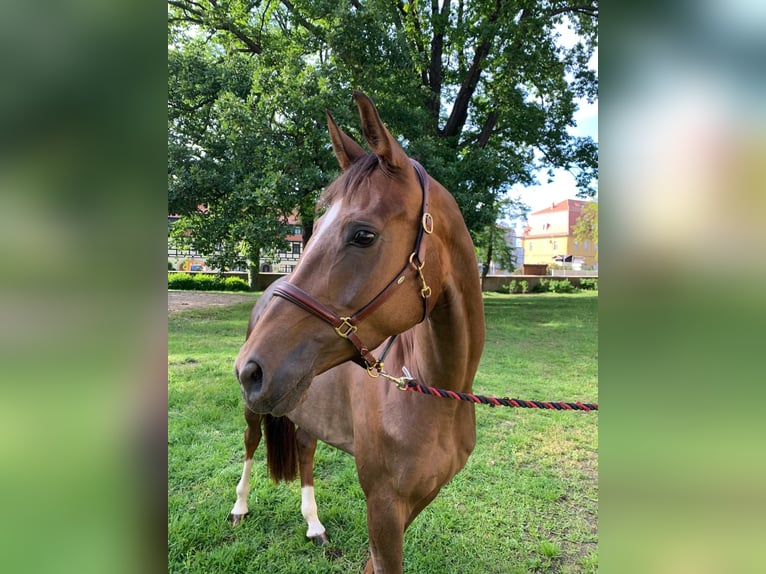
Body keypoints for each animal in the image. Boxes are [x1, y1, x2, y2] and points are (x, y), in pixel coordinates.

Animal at [230, 91, 485, 573]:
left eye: (363, 235)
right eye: (311, 233)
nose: (250, 370)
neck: (433, 393)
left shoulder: (413, 502)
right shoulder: (384, 504)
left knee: (306, 449)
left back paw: (313, 524)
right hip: (256, 411)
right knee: (252, 444)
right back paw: (239, 507)